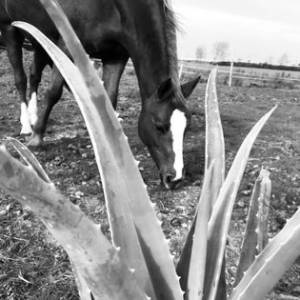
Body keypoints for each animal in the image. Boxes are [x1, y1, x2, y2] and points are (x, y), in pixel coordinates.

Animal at [1, 0, 202, 188]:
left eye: (186, 128)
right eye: (159, 126)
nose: (175, 178)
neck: (113, 6)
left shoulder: (115, 56)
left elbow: (110, 98)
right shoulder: (65, 45)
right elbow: (53, 93)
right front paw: (36, 138)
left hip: (39, 37)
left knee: (34, 74)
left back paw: (33, 117)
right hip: (10, 28)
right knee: (21, 78)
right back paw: (27, 125)